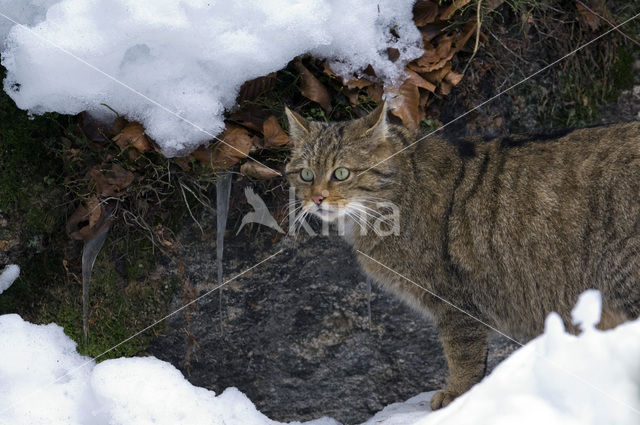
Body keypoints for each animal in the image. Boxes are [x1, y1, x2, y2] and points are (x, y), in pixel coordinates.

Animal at [284, 102, 640, 408]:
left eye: (341, 173)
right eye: (305, 174)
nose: (316, 198)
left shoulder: (456, 302)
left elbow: (463, 354)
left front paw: (457, 395)